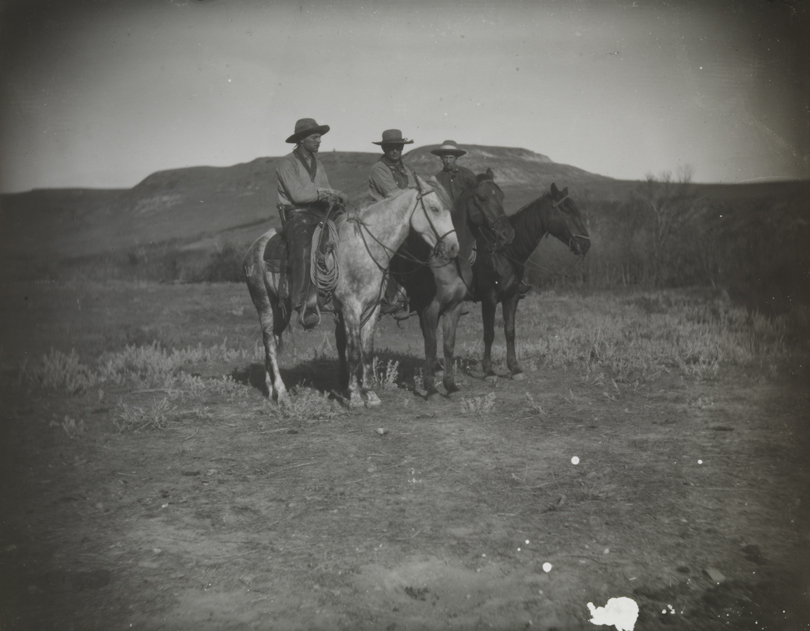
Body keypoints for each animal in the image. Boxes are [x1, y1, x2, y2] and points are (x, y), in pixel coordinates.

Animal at [243, 177, 459, 408]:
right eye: (434, 208)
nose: (454, 247)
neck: (366, 249)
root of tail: (254, 247)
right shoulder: (350, 309)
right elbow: (354, 352)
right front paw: (355, 397)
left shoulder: (372, 309)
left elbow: (367, 352)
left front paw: (370, 394)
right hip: (265, 304)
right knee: (269, 343)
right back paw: (282, 393)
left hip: (279, 311)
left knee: (272, 342)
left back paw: (271, 390)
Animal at [389, 168, 514, 395]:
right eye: (482, 198)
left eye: (501, 196)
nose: (507, 233)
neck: (449, 261)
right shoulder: (429, 309)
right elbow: (431, 346)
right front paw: (430, 388)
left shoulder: (453, 307)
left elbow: (448, 345)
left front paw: (450, 385)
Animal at [474, 182, 590, 380]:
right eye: (567, 211)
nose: (586, 244)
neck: (505, 253)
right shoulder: (489, 298)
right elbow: (489, 333)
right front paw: (488, 371)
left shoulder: (511, 297)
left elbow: (510, 331)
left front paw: (514, 368)